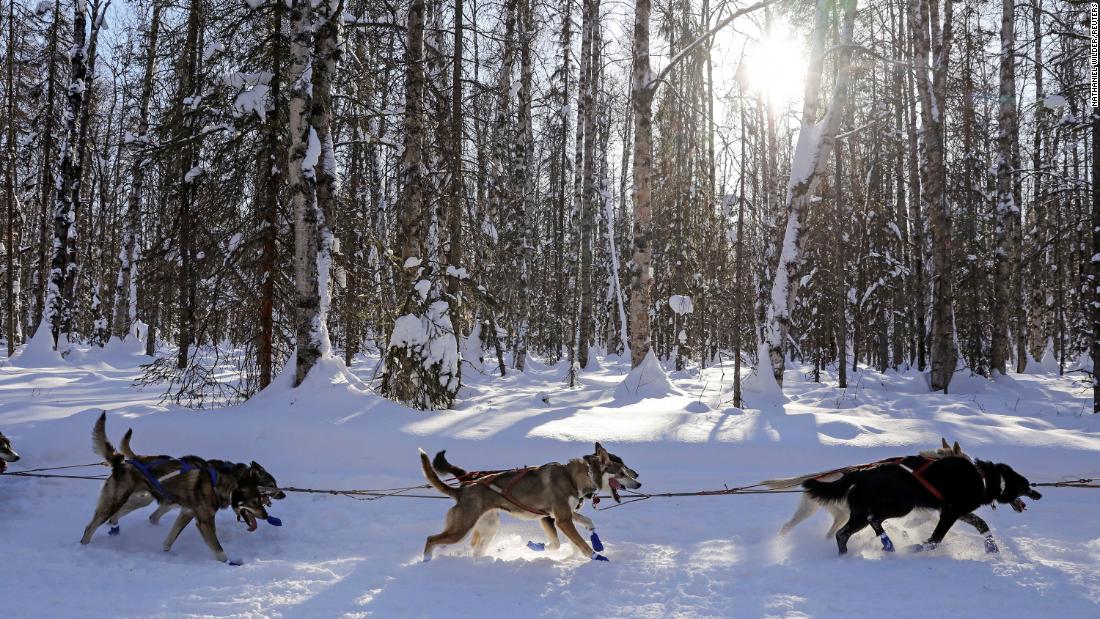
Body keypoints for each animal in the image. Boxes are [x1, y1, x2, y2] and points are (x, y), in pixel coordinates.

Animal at [800, 457, 1038, 554]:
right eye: (1026, 486)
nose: (1038, 494)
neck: (984, 478)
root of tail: (863, 472)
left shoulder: (956, 511)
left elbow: (982, 524)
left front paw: (992, 548)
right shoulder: (950, 513)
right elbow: (935, 539)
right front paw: (916, 547)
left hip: (860, 513)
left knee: (843, 533)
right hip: (902, 503)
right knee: (873, 518)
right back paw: (888, 543)